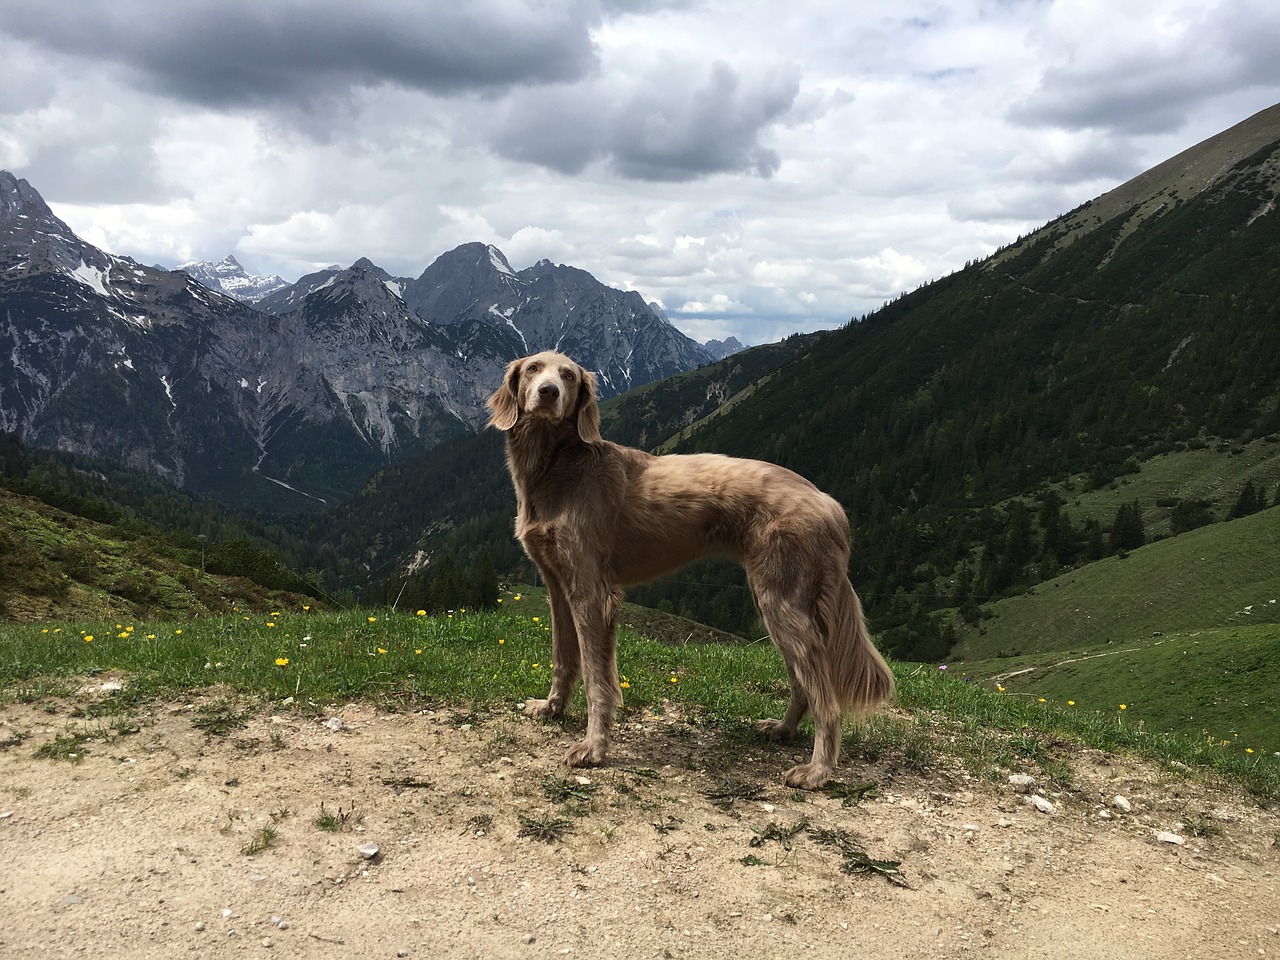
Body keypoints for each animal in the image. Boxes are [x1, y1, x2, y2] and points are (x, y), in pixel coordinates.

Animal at [483, 353, 896, 788]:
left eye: (568, 376)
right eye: (533, 368)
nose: (549, 393)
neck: (558, 469)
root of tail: (828, 502)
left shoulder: (592, 593)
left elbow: (598, 679)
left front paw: (593, 749)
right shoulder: (557, 585)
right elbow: (563, 657)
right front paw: (552, 708)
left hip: (783, 603)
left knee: (825, 697)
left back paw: (817, 770)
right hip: (778, 606)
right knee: (804, 684)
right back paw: (783, 731)